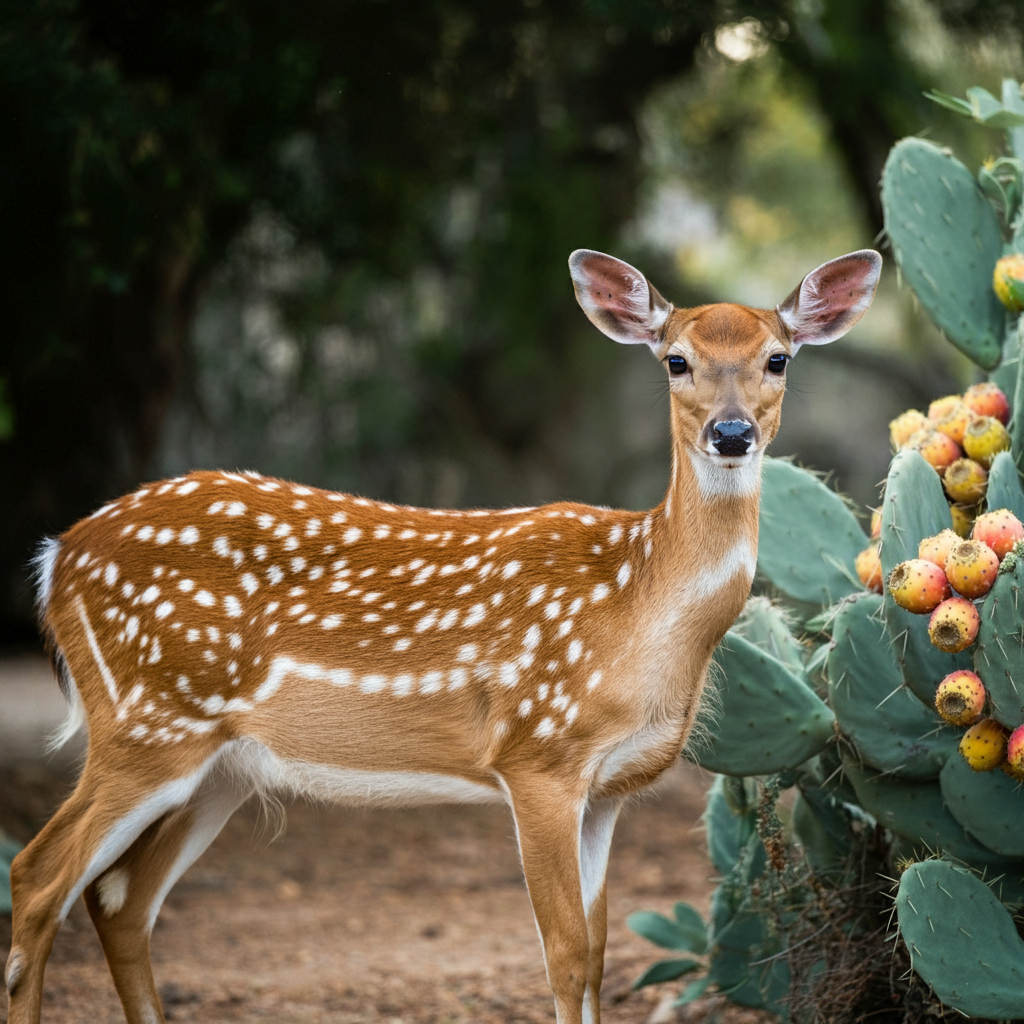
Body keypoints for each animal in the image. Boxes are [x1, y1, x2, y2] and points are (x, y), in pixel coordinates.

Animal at [4, 247, 880, 1024]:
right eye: (675, 360)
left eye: (777, 359)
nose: (731, 434)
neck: (637, 605)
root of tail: (55, 559)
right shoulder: (537, 755)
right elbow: (564, 955)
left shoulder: (607, 791)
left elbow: (599, 953)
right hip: (146, 722)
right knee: (39, 876)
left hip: (218, 764)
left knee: (120, 898)